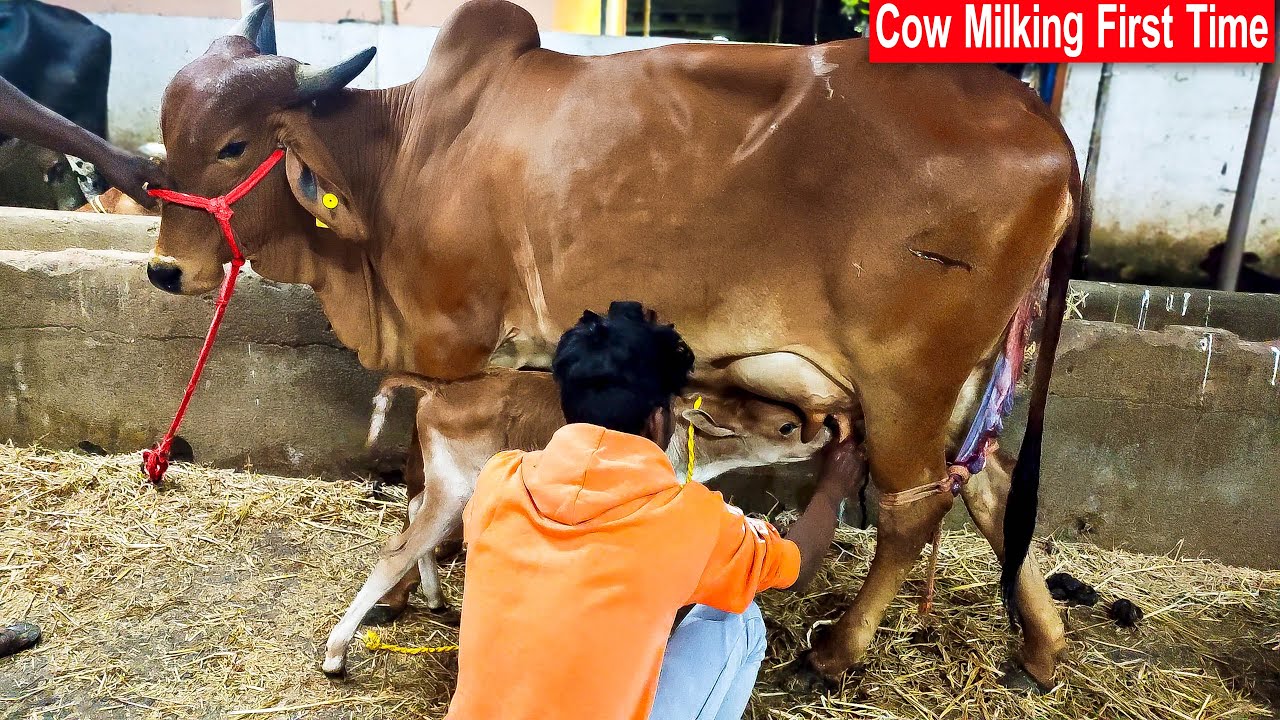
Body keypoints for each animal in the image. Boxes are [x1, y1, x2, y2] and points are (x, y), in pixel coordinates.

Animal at [146, 0, 1082, 685]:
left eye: (234, 145)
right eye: (170, 138)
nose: (163, 269)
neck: (403, 156)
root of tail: (1049, 130)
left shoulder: (452, 343)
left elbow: (418, 483)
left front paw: (420, 588)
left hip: (906, 383)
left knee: (916, 506)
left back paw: (835, 652)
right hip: (966, 379)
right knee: (992, 487)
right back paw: (1040, 650)